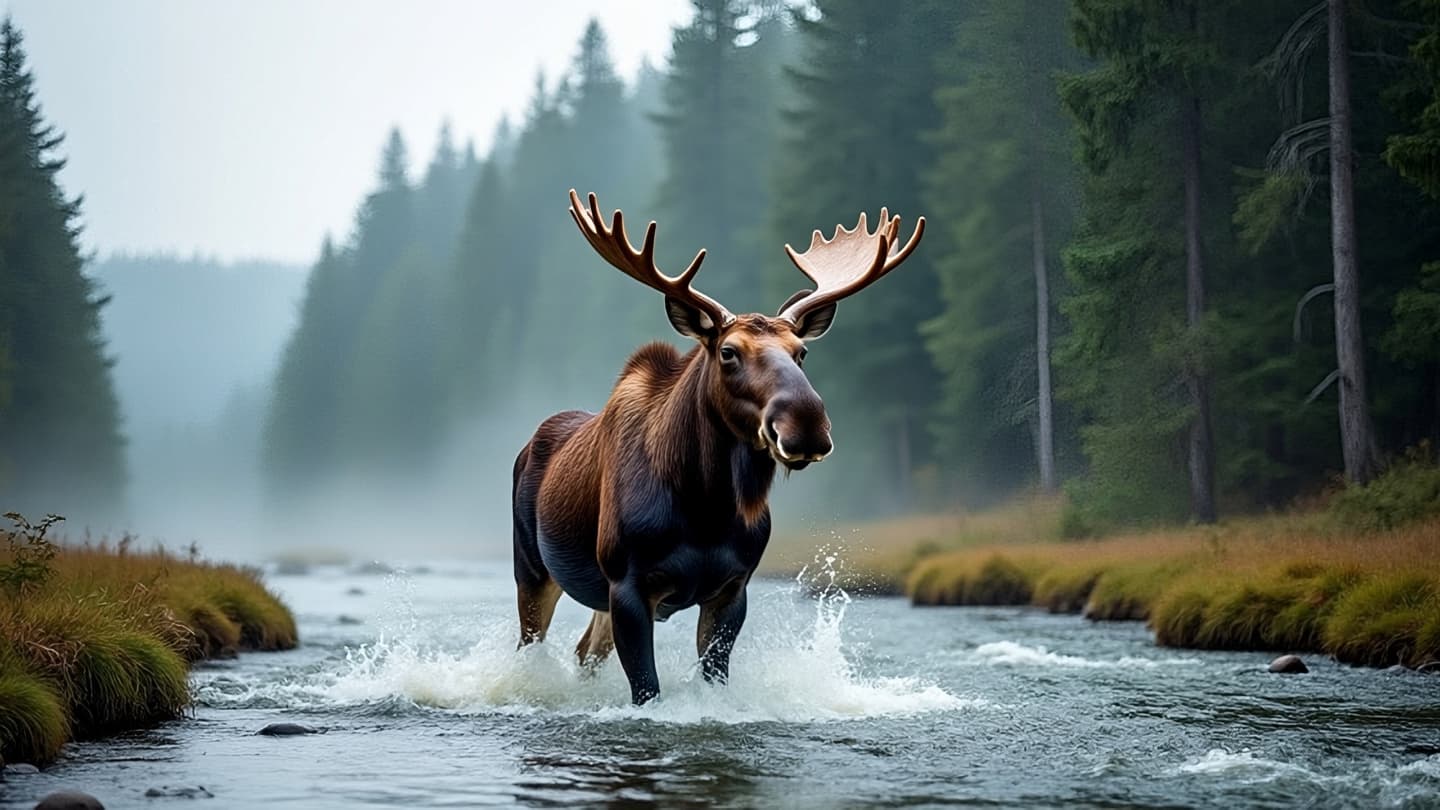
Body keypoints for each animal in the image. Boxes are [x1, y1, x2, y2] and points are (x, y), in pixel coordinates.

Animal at [511, 190, 924, 704]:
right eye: (728, 351)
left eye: (801, 352)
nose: (806, 423)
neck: (705, 505)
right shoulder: (627, 583)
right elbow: (646, 688)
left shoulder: (732, 586)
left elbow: (713, 674)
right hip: (532, 569)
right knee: (530, 648)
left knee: (585, 651)